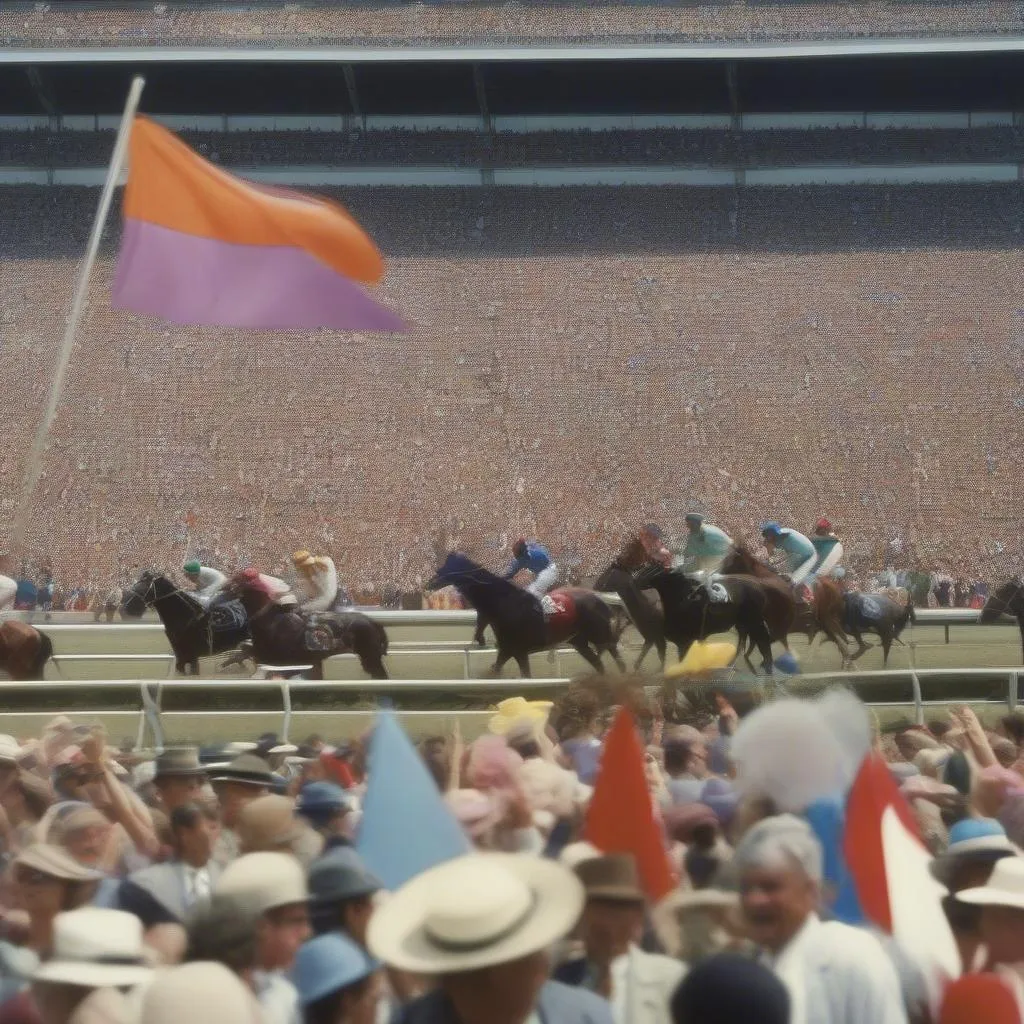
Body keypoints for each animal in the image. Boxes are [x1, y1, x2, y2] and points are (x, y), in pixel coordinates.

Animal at [221, 573, 387, 684]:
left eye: (242, 579)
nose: (225, 587)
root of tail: (376, 625)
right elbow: (247, 652)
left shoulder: (279, 658)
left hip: (369, 656)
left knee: (379, 673)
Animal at [425, 552, 622, 679]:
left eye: (441, 570)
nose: (428, 584)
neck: (504, 604)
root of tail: (601, 601)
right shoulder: (509, 650)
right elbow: (496, 671)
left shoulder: (516, 650)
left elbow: (519, 675)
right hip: (580, 642)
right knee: (599, 664)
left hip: (600, 636)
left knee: (616, 658)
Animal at [630, 565, 774, 675]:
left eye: (647, 572)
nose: (634, 581)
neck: (682, 602)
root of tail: (760, 589)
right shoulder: (681, 642)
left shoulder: (685, 641)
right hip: (742, 624)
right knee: (745, 640)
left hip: (753, 621)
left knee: (762, 639)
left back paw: (765, 666)